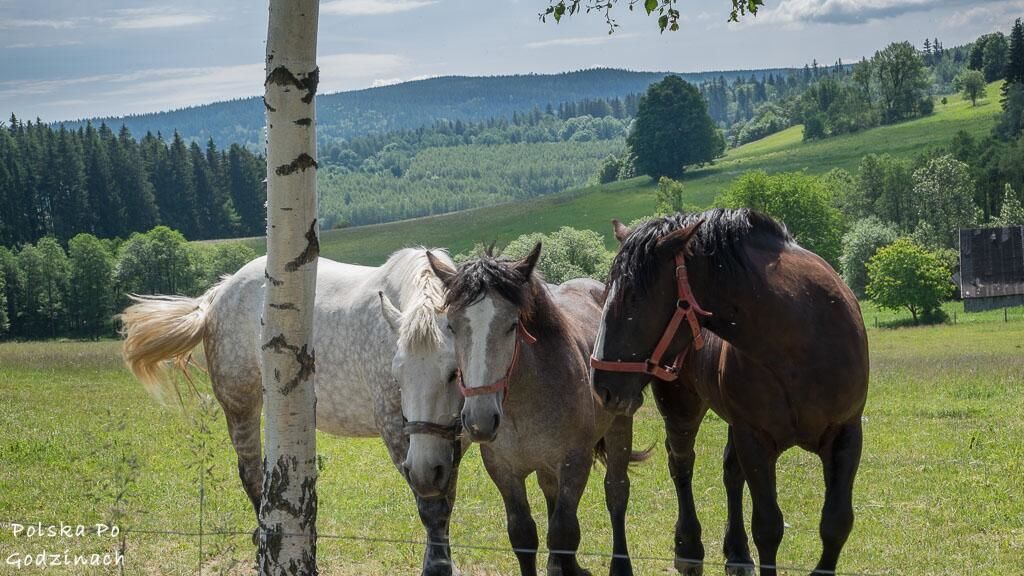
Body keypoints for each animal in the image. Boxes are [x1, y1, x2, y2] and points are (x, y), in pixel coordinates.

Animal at [120, 248, 468, 573]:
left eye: (455, 371)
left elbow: (445, 499)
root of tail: (220, 291)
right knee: (251, 474)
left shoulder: (446, 444)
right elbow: (431, 505)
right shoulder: (395, 428)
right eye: (397, 375)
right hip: (240, 405)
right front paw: (437, 567)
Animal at [428, 242, 643, 573]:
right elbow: (524, 535)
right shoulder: (503, 471)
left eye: (512, 325)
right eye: (451, 326)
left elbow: (564, 532)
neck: (522, 406)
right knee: (550, 491)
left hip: (619, 427)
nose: (479, 420)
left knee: (616, 491)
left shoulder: (574, 463)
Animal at [593, 210, 872, 573]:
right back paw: (689, 547)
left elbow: (836, 523)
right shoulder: (753, 439)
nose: (601, 386)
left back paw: (737, 552)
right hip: (682, 408)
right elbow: (768, 527)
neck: (803, 340)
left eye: (632, 297)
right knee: (681, 464)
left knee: (729, 472)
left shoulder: (846, 435)